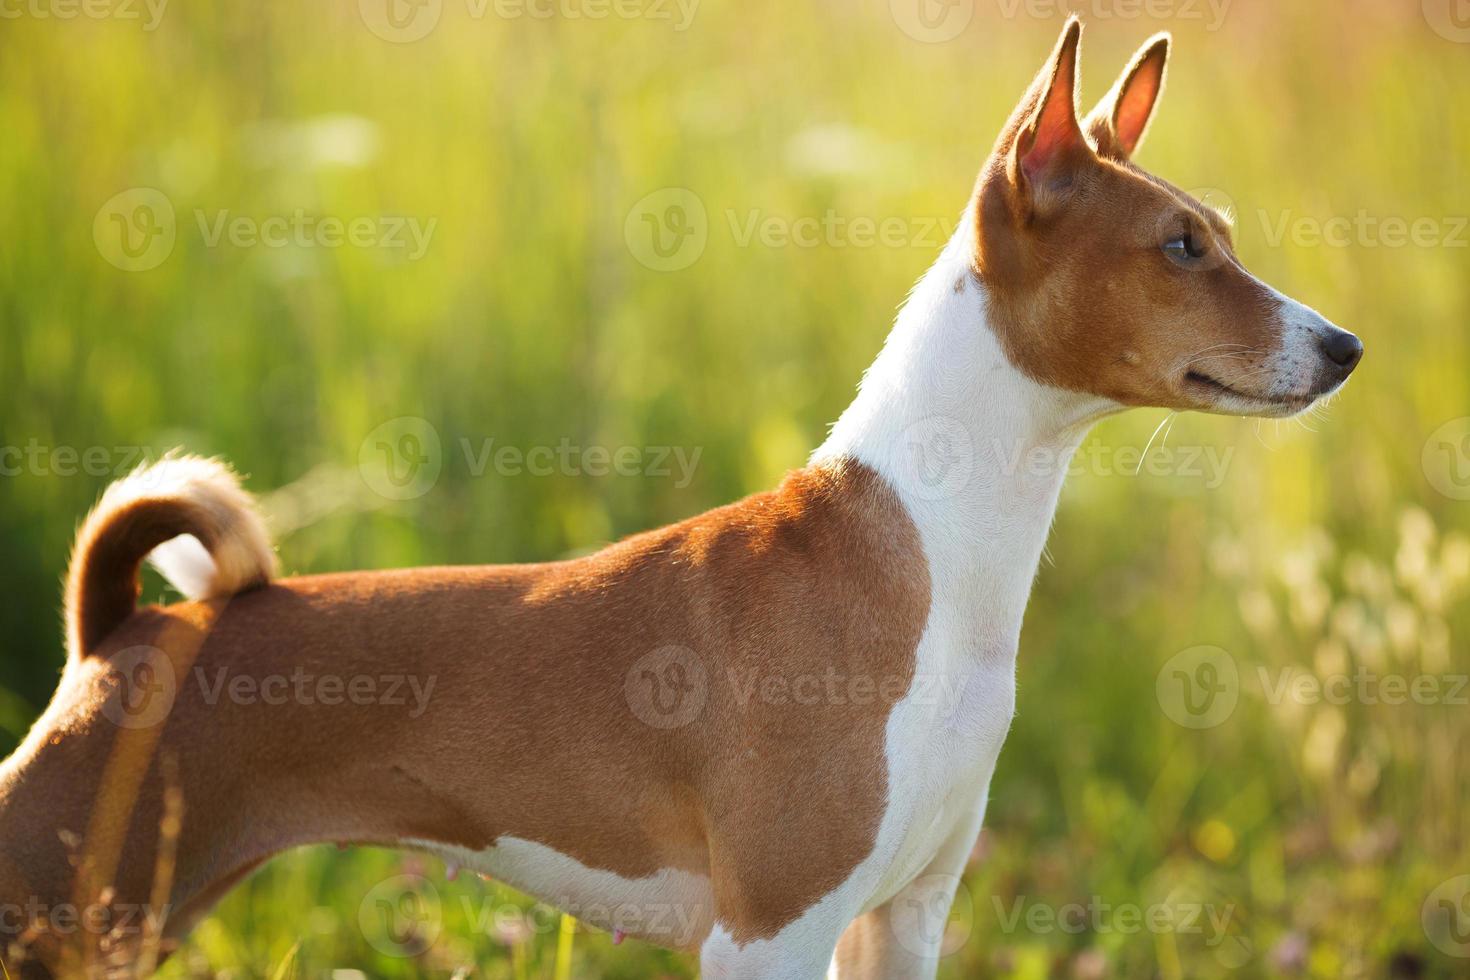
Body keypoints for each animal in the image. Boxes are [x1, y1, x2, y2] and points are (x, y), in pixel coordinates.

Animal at [0, 17, 1358, 980]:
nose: (1345, 344)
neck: (928, 565)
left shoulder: (902, 917)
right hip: (54, 905)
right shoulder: (771, 931)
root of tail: (118, 630)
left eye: (1218, 231)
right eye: (1180, 246)